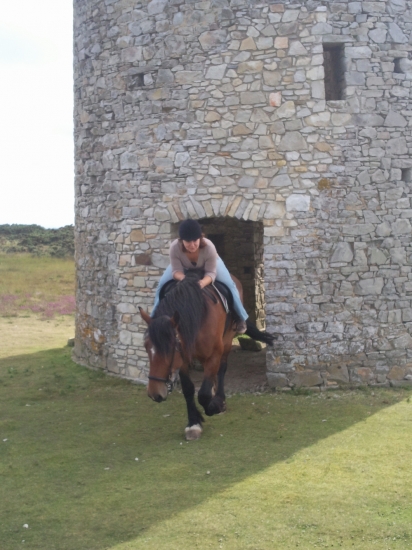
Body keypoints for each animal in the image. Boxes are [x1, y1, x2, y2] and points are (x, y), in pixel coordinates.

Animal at [140, 270, 276, 442]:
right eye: (146, 346)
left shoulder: (214, 354)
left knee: (221, 369)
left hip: (227, 341)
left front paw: (214, 406)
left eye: (170, 348)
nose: (154, 393)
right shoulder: (182, 360)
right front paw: (193, 423)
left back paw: (219, 398)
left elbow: (204, 393)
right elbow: (188, 389)